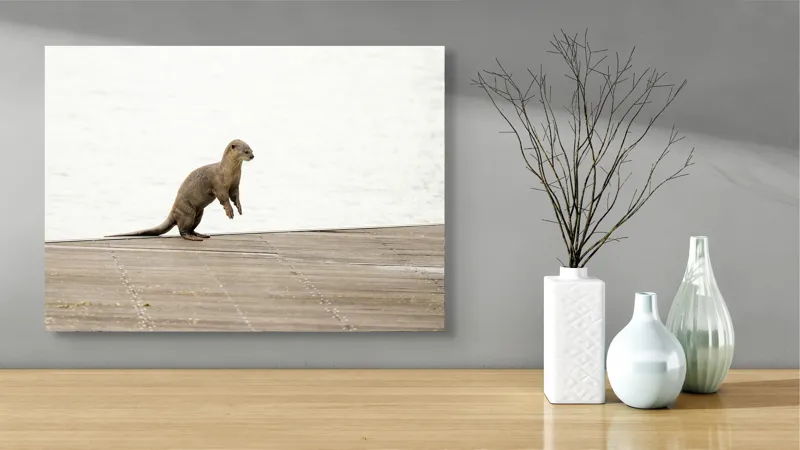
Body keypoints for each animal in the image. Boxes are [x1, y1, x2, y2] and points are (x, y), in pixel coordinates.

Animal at [106, 139, 255, 241]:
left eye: (251, 149)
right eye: (245, 151)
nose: (252, 156)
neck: (227, 172)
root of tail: (174, 211)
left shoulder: (235, 184)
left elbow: (235, 196)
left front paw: (239, 208)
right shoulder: (219, 185)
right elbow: (223, 198)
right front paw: (229, 211)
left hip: (198, 213)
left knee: (191, 228)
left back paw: (200, 234)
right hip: (187, 212)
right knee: (182, 230)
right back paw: (193, 237)